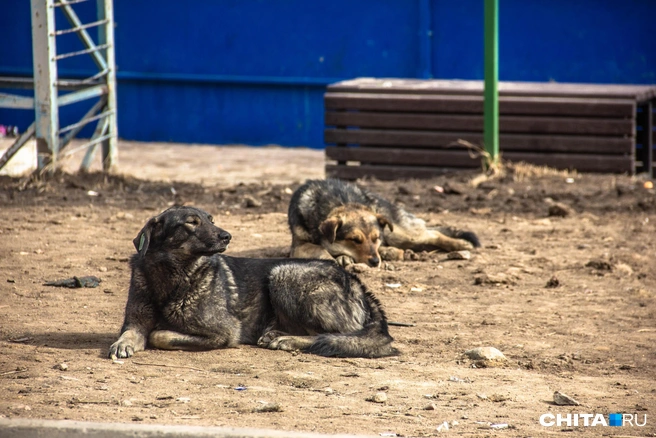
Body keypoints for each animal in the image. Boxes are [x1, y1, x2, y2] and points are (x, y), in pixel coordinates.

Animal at [106, 205, 400, 360]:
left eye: (211, 220)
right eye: (191, 223)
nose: (226, 236)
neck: (173, 277)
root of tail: (359, 286)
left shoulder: (223, 332)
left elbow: (160, 334)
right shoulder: (135, 321)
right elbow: (132, 332)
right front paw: (123, 343)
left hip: (284, 273)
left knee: (334, 336)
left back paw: (286, 340)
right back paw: (277, 334)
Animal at [290, 178, 480, 266]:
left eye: (375, 238)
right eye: (355, 240)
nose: (375, 262)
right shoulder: (299, 245)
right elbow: (321, 250)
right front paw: (339, 257)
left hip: (399, 233)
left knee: (433, 233)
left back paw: (460, 244)